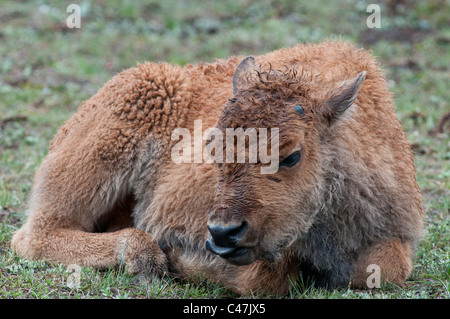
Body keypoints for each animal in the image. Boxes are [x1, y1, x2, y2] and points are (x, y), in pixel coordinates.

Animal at [11, 41, 426, 296]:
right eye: (214, 146)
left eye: (291, 155)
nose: (224, 232)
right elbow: (264, 276)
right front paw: (180, 262)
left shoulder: (395, 228)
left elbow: (386, 267)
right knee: (34, 235)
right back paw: (142, 255)